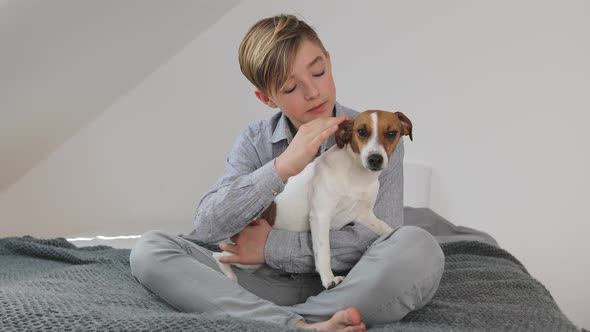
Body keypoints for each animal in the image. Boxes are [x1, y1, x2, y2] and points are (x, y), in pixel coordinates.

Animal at [215, 110, 414, 290]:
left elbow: (387, 228)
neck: (356, 175)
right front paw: (328, 279)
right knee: (219, 256)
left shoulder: (364, 215)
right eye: (362, 131)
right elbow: (324, 250)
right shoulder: (321, 216)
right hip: (247, 260)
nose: (375, 159)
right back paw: (230, 278)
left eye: (391, 133)